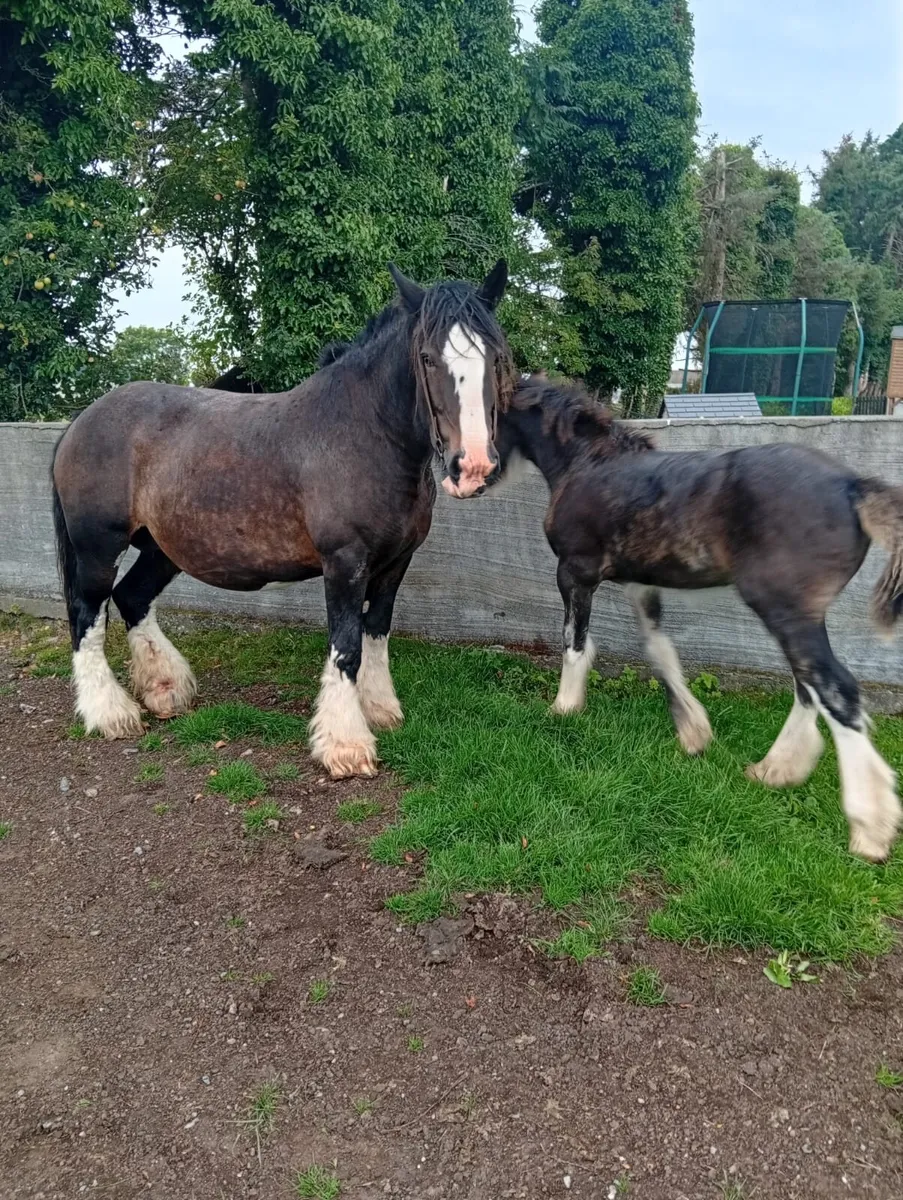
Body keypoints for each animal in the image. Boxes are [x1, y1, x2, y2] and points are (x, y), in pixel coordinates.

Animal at [50, 261, 514, 778]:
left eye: (495, 357)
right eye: (429, 358)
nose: (472, 466)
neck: (362, 433)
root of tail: (81, 421)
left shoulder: (395, 563)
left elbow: (376, 631)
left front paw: (379, 709)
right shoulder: (345, 562)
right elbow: (347, 644)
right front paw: (345, 744)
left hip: (162, 548)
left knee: (132, 598)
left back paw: (165, 690)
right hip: (98, 548)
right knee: (87, 615)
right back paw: (109, 713)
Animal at [449, 374, 903, 862]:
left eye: (483, 412)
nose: (460, 475)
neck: (585, 464)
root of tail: (853, 486)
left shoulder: (574, 572)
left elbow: (574, 641)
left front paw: (564, 709)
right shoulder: (640, 585)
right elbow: (658, 650)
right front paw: (693, 732)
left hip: (785, 611)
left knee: (835, 689)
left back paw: (869, 829)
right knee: (808, 686)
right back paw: (775, 769)